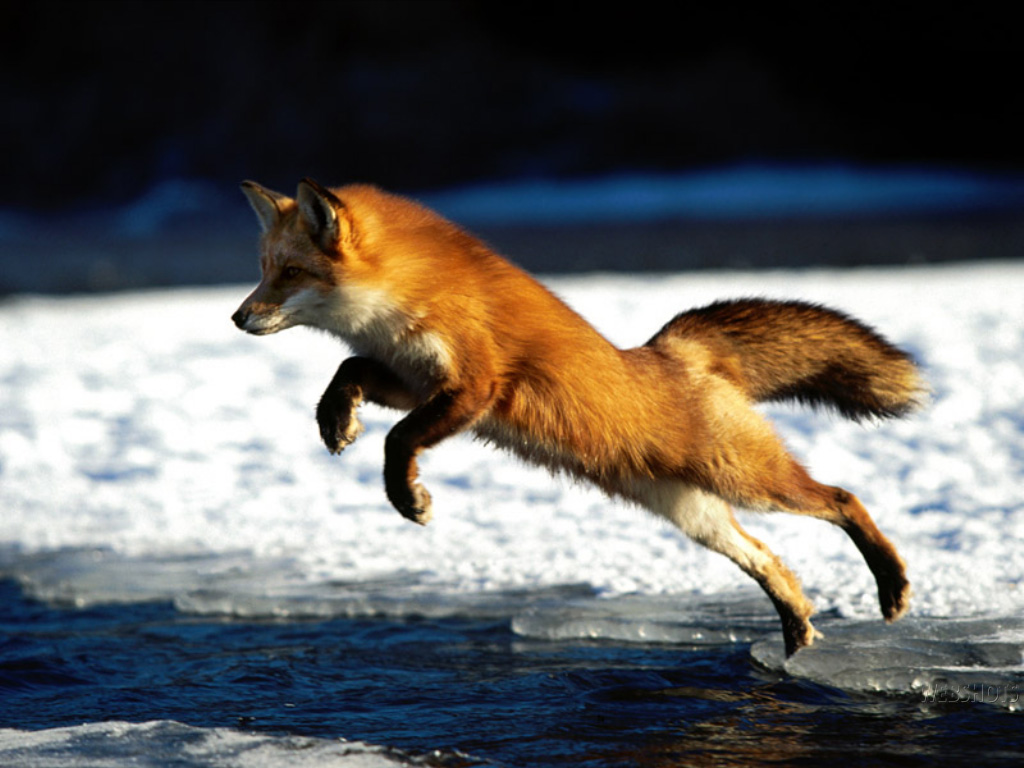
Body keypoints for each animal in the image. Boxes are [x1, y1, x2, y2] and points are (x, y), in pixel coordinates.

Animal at [232, 178, 924, 656]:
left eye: (290, 272)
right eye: (263, 270)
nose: (237, 318)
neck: (405, 299)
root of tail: (674, 351)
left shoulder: (475, 385)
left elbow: (398, 441)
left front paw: (408, 498)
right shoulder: (410, 379)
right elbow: (347, 370)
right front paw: (335, 420)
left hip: (748, 480)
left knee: (843, 498)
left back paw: (891, 586)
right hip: (696, 514)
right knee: (771, 563)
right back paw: (797, 631)